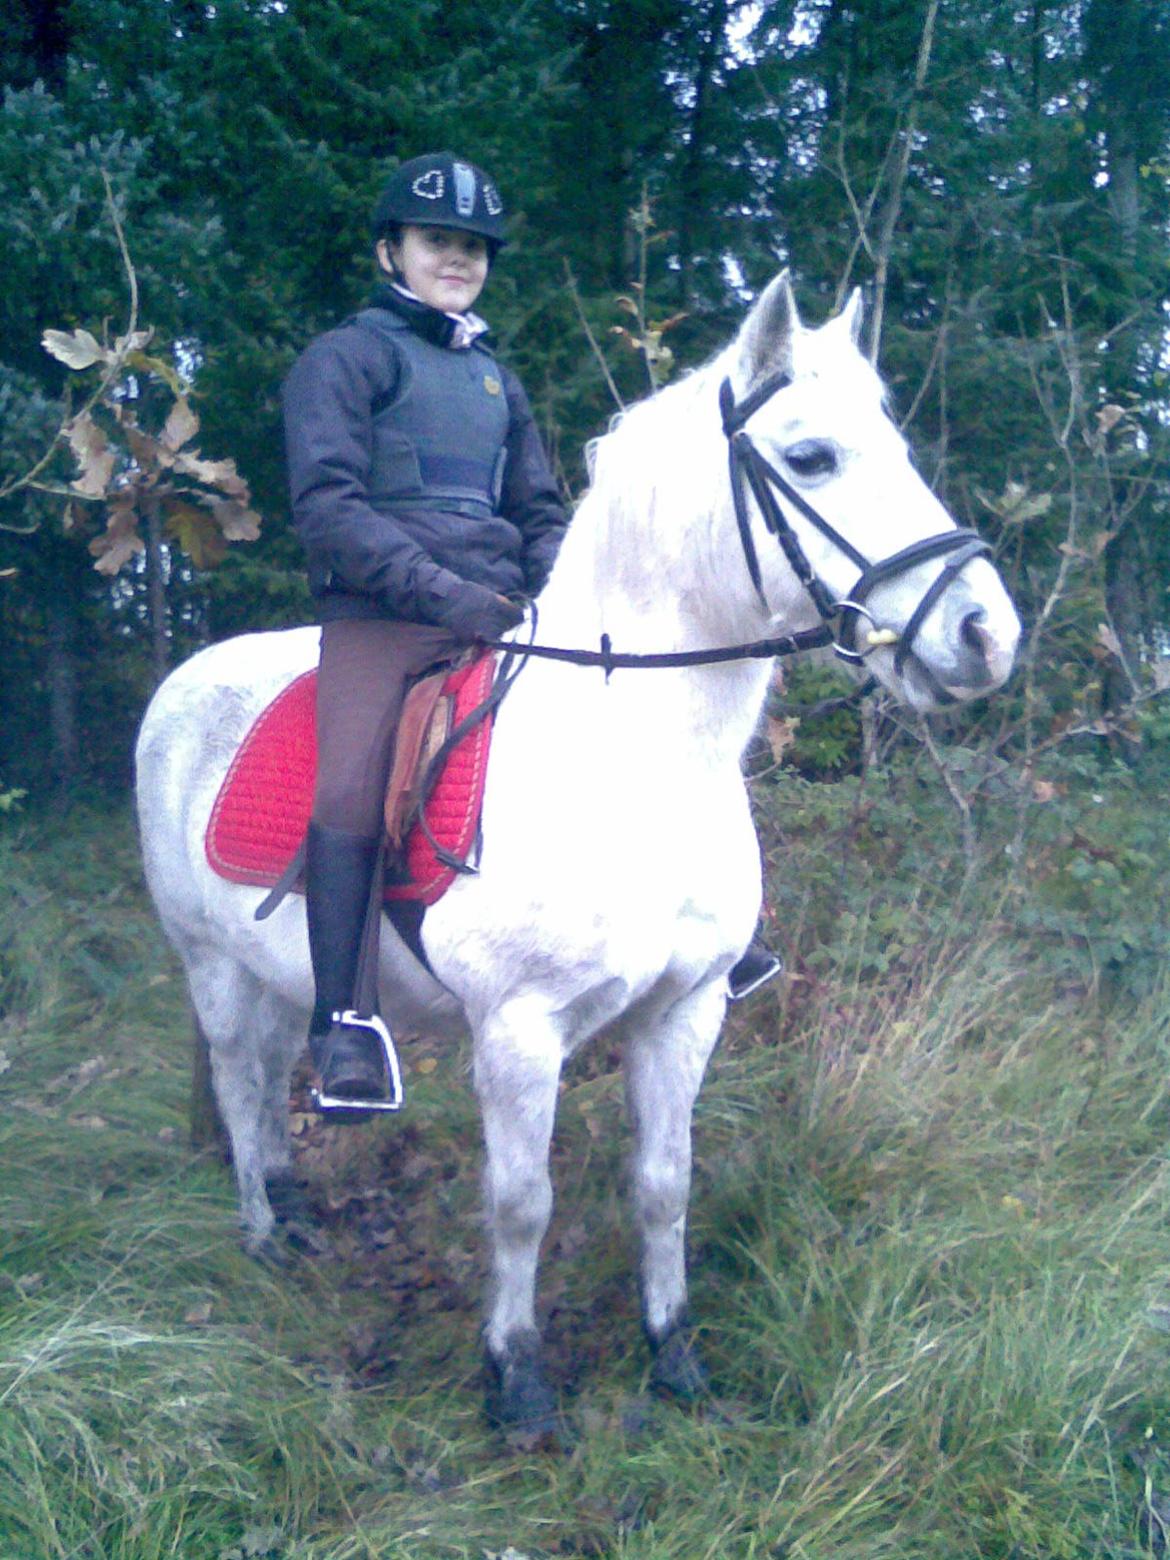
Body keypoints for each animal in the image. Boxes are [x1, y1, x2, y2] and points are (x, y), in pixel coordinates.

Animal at [135, 272, 1020, 1432]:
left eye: (900, 447)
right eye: (811, 456)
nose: (986, 636)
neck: (629, 762)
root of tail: (185, 682)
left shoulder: (685, 1012)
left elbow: (665, 1184)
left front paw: (674, 1355)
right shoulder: (519, 1031)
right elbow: (521, 1205)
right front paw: (516, 1379)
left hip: (275, 970)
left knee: (279, 1068)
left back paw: (292, 1213)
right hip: (207, 963)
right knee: (243, 1084)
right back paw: (260, 1237)